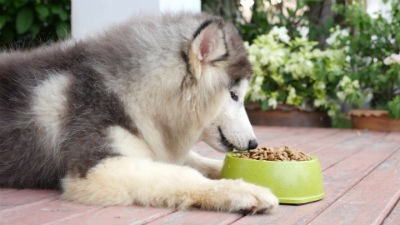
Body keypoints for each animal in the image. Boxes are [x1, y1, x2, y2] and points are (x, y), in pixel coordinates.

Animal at [0, 13, 278, 214]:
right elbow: (183, 175)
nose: (254, 143)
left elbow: (201, 162)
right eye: (234, 95)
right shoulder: (99, 165)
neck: (129, 92)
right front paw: (243, 191)